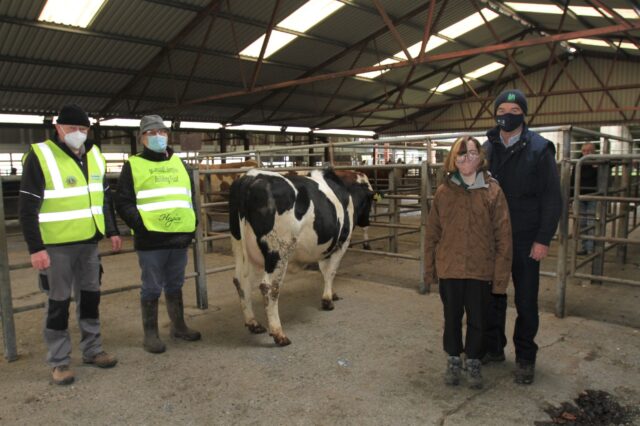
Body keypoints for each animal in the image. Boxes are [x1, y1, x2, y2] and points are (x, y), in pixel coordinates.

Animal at [229, 167, 376, 346]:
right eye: (370, 198)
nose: (366, 221)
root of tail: (251, 177)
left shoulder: (325, 247)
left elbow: (324, 271)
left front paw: (331, 294)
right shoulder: (342, 243)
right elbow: (331, 272)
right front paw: (328, 300)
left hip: (239, 246)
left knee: (241, 282)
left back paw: (253, 323)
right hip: (278, 251)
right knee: (269, 287)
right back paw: (279, 334)